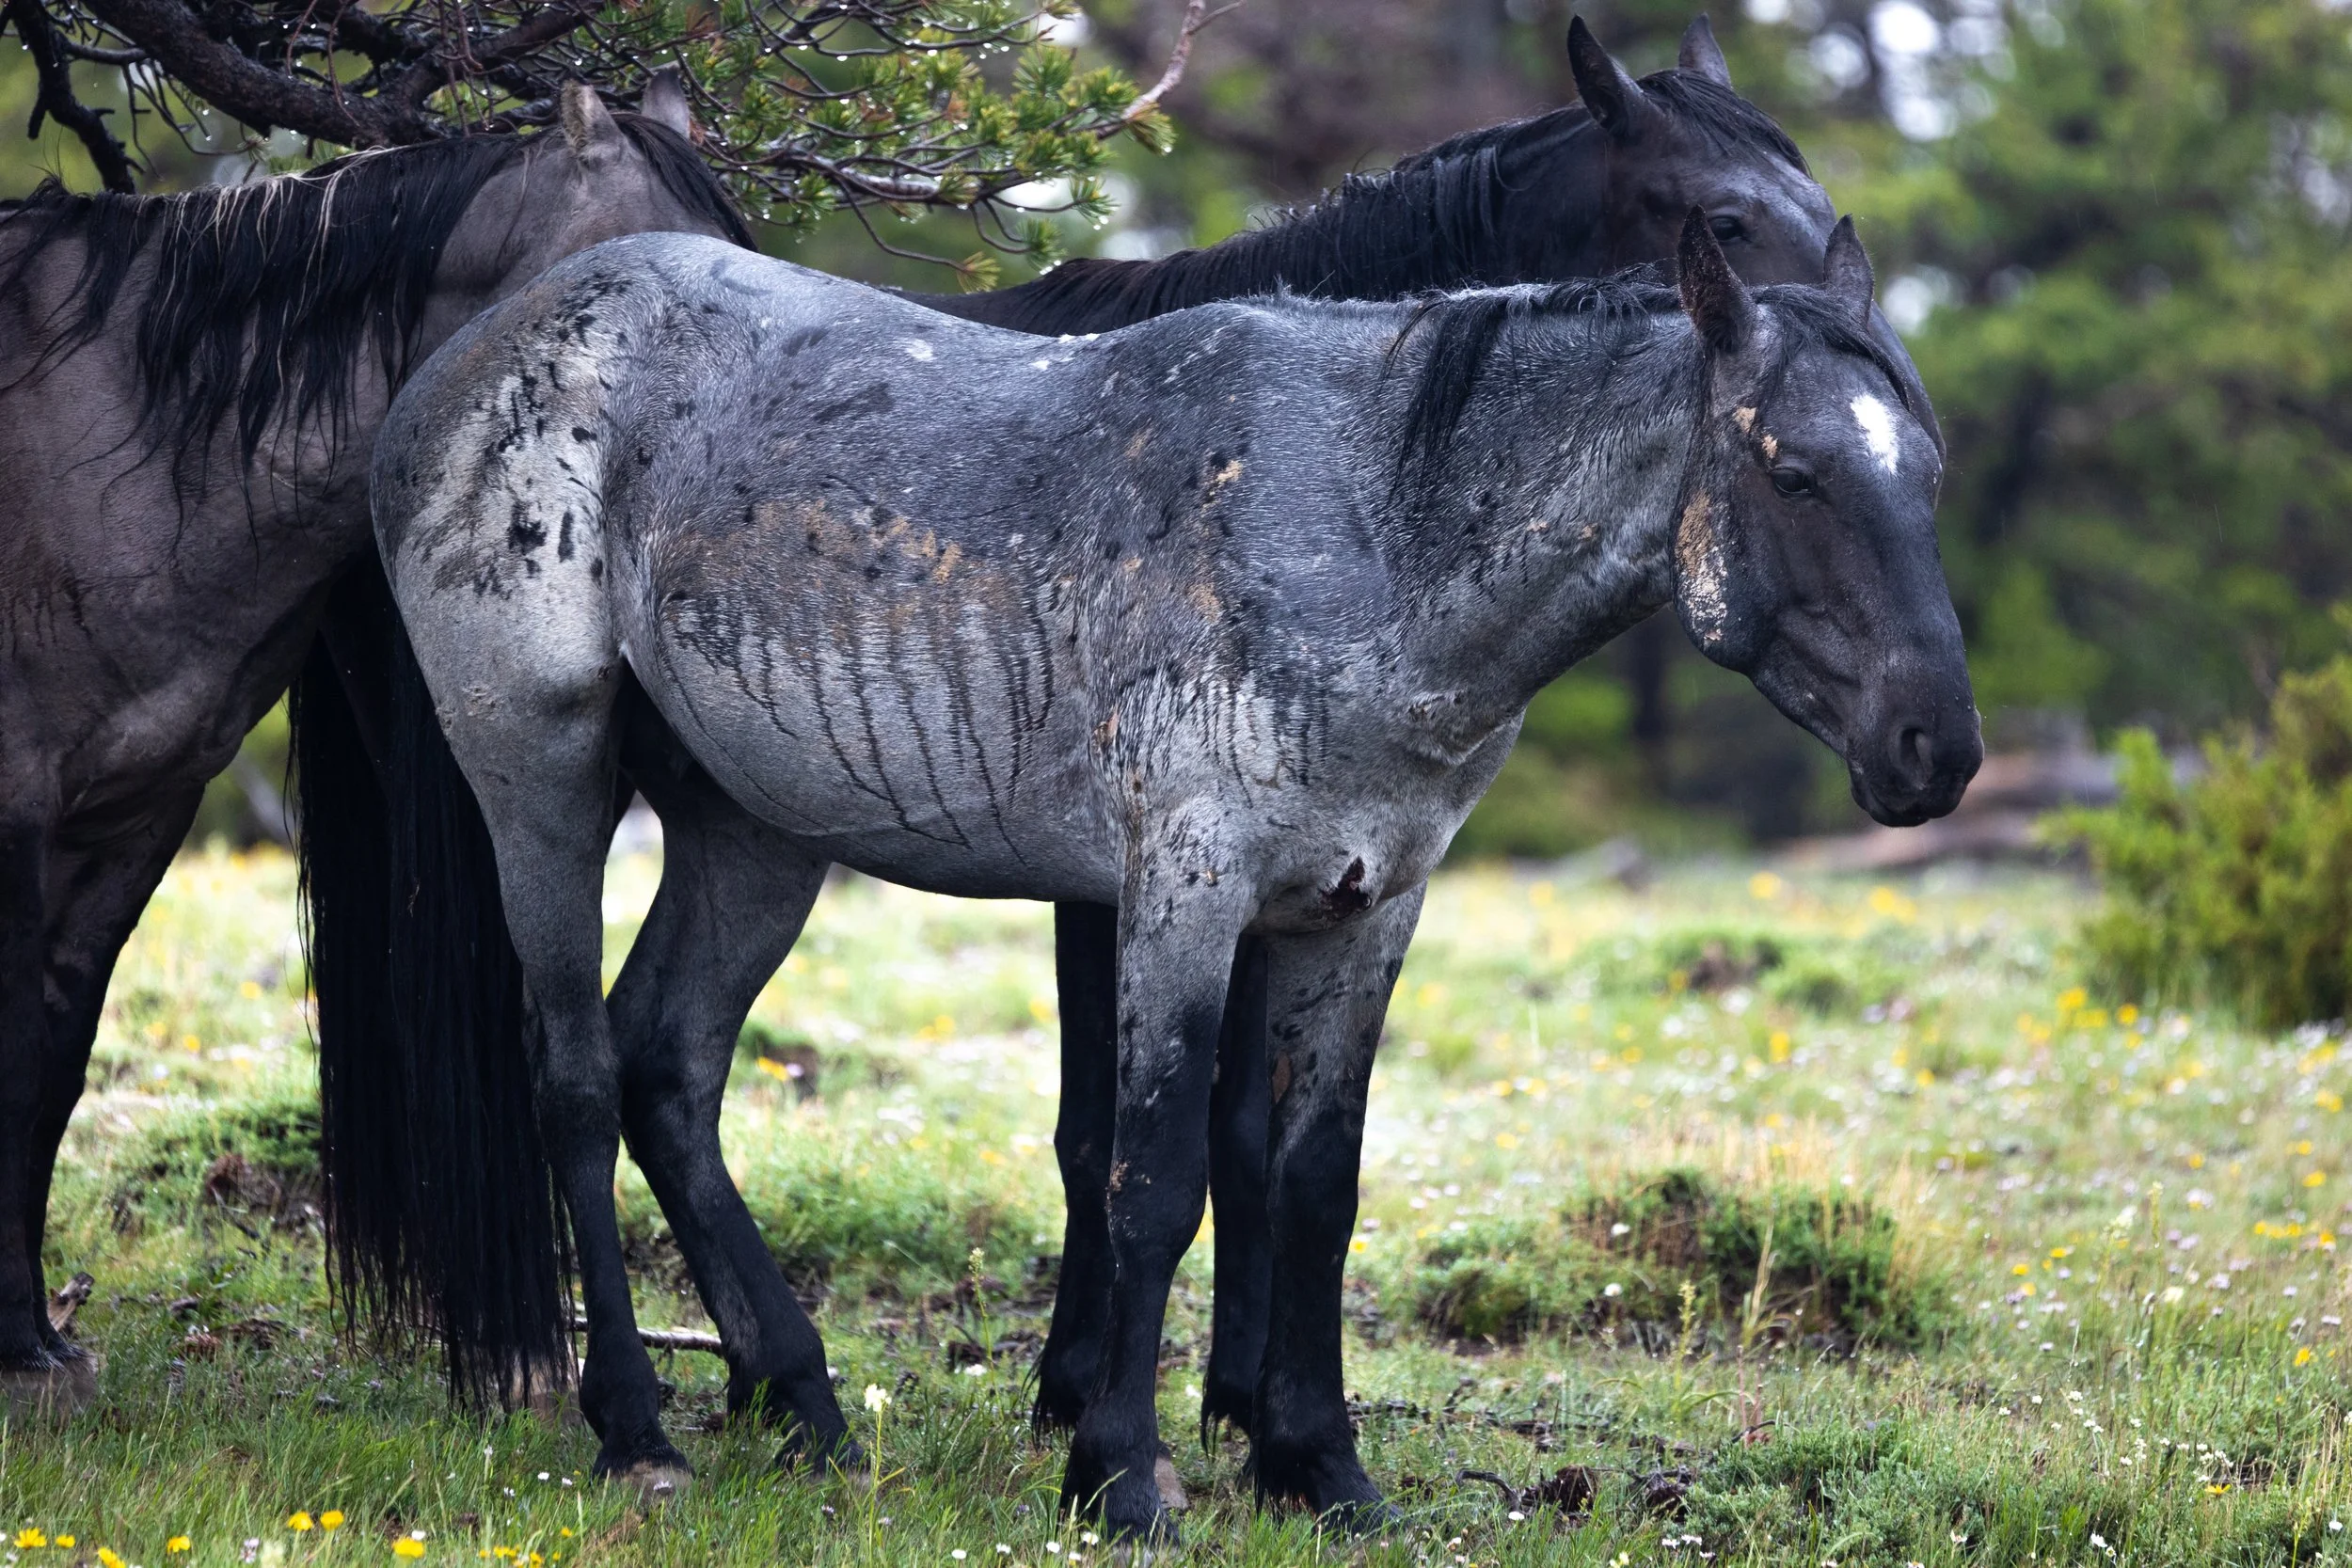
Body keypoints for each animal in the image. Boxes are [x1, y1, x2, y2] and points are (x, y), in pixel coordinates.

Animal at [288, 14, 1950, 1472]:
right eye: (1791, 469)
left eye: (1922, 465)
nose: (1937, 742)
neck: (1372, 514)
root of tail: (467, 357)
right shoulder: (1174, 891)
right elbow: (1148, 1166)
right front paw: (1117, 1455)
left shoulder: (1363, 905)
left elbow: (1310, 1175)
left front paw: (1307, 1457)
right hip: (543, 777)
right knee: (574, 1070)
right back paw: (637, 1424)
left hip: (751, 827)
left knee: (669, 1067)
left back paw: (803, 1398)